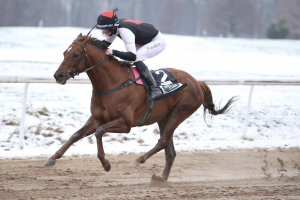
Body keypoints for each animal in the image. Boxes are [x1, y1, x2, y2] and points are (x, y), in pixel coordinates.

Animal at [46, 34, 234, 181]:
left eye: (76, 54)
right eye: (64, 53)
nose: (58, 75)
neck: (112, 83)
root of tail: (197, 82)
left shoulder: (126, 124)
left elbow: (99, 132)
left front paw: (106, 163)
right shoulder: (97, 118)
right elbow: (76, 135)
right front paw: (52, 158)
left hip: (180, 112)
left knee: (162, 142)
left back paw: (137, 161)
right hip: (164, 117)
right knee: (170, 150)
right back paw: (161, 179)